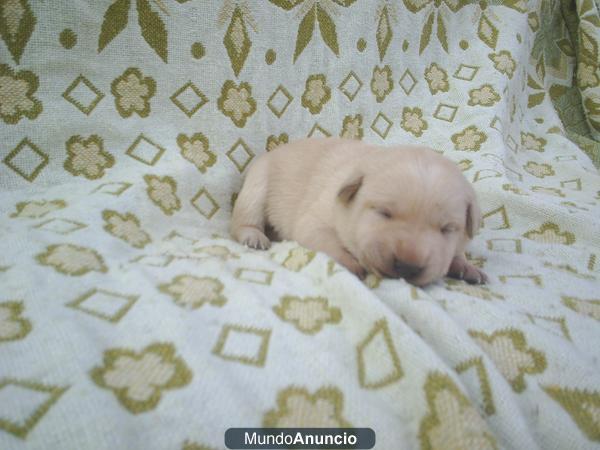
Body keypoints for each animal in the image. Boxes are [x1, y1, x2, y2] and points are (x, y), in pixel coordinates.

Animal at [230, 135, 488, 286]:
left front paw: (465, 266)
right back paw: (254, 236)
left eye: (447, 229)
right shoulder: (315, 219)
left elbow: (457, 252)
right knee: (245, 219)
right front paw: (351, 264)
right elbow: (326, 240)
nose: (407, 267)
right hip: (257, 186)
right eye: (384, 213)